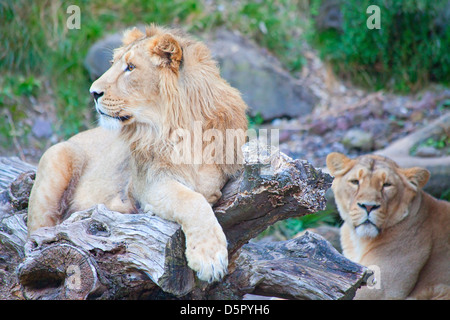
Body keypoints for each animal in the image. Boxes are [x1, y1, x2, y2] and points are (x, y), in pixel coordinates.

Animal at [27, 24, 248, 282]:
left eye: (130, 68)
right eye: (114, 63)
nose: (93, 92)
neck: (179, 125)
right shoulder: (147, 184)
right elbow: (192, 201)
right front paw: (209, 258)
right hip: (56, 157)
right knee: (35, 237)